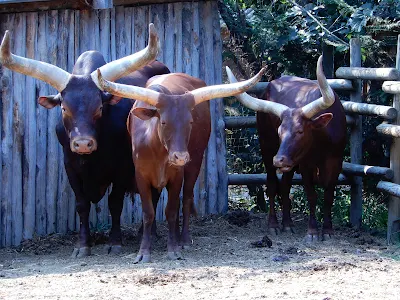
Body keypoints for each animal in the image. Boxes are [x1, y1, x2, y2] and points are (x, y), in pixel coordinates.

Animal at [0, 24, 170, 256]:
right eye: (64, 108)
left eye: (99, 108)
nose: (82, 144)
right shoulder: (70, 166)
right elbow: (82, 205)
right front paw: (82, 245)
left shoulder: (123, 167)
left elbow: (115, 202)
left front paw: (114, 242)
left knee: (154, 195)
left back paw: (148, 233)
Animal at [97, 67, 266, 260]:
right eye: (164, 122)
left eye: (190, 122)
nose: (181, 157)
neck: (157, 148)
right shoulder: (141, 176)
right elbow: (148, 213)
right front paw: (144, 252)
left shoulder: (176, 175)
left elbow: (171, 210)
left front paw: (173, 249)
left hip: (195, 162)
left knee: (185, 198)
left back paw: (183, 239)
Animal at [228, 55, 346, 239]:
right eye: (279, 131)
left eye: (300, 131)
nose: (279, 160)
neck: (322, 143)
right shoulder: (305, 165)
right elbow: (312, 195)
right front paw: (312, 231)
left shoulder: (336, 162)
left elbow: (328, 195)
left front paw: (327, 230)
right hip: (267, 148)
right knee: (271, 185)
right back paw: (274, 224)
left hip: (290, 162)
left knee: (284, 186)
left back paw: (288, 224)